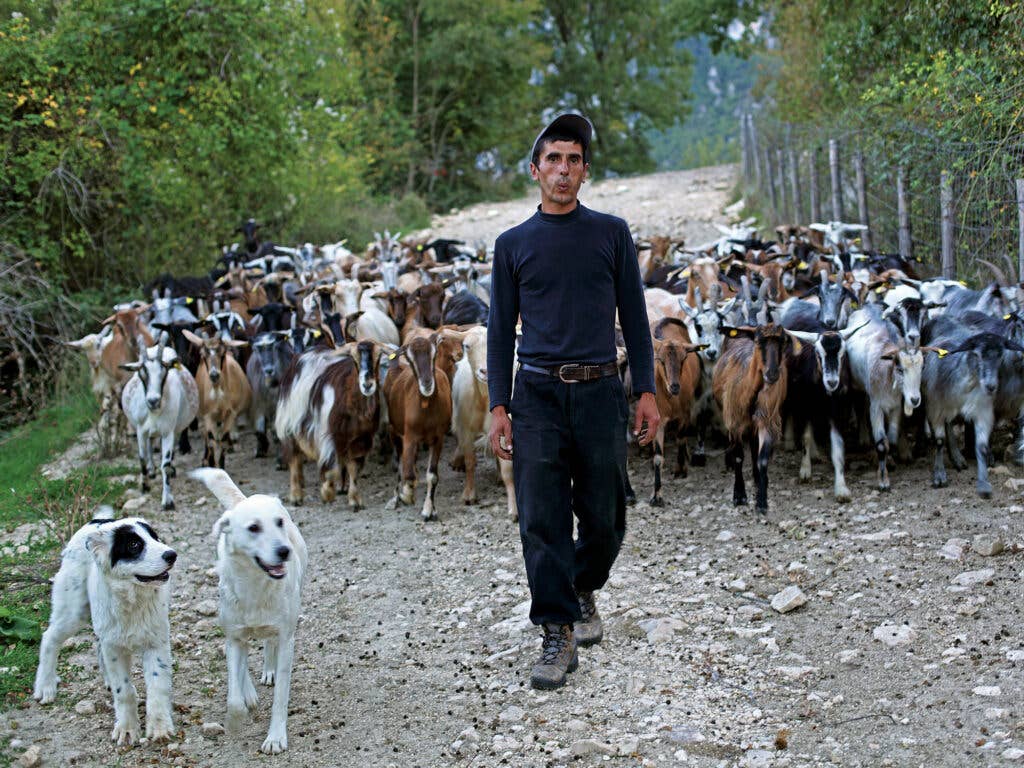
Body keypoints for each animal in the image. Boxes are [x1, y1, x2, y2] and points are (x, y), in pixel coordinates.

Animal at [32, 512, 178, 745]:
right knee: (50, 638)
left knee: (98, 646)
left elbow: (157, 686)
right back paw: (45, 685)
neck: (132, 600)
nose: (172, 555)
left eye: (156, 538)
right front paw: (127, 728)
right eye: (134, 545)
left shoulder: (156, 642)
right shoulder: (115, 647)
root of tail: (97, 520)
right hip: (74, 611)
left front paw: (159, 727)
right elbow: (124, 691)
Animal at [190, 466, 305, 753]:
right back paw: (249, 692)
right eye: (253, 528)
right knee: (239, 661)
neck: (256, 585)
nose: (284, 551)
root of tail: (244, 499)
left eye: (279, 523)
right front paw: (235, 720)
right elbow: (233, 696)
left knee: (268, 643)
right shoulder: (234, 636)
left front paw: (275, 737)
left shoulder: (287, 639)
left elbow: (280, 697)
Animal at [712, 321, 798, 514]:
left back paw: (757, 478)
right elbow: (738, 457)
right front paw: (739, 496)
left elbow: (762, 459)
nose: (772, 374)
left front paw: (761, 501)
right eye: (758, 341)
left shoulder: (767, 421)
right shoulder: (734, 423)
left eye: (783, 341)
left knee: (753, 446)